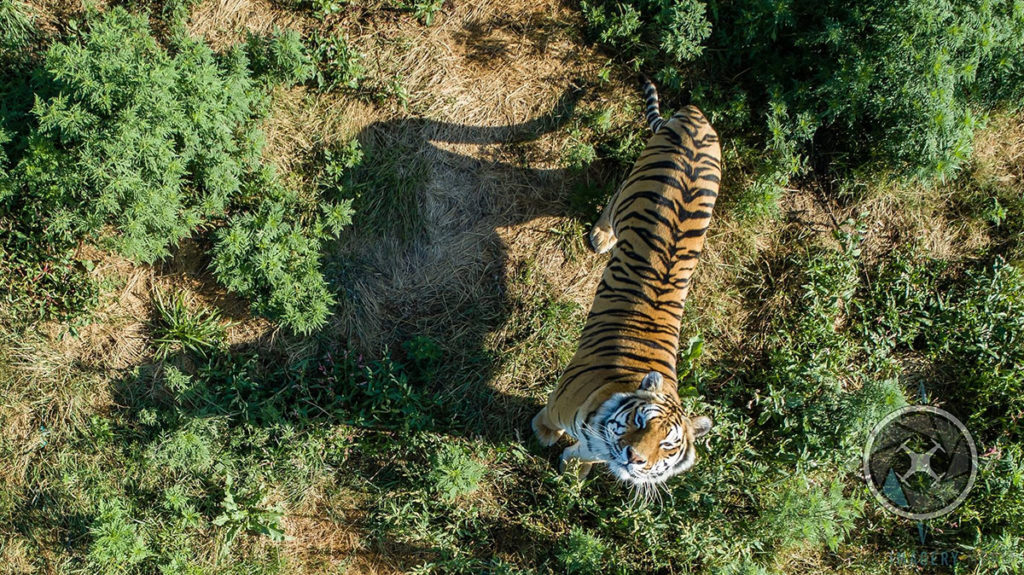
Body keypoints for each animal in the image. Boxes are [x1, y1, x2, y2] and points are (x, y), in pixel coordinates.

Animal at [532, 79, 724, 487]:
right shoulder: (560, 400)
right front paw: (543, 434)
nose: (636, 457)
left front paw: (574, 473)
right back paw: (601, 237)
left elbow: (585, 456)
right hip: (628, 191)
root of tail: (696, 114)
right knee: (611, 203)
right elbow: (551, 419)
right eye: (639, 420)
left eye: (667, 446)